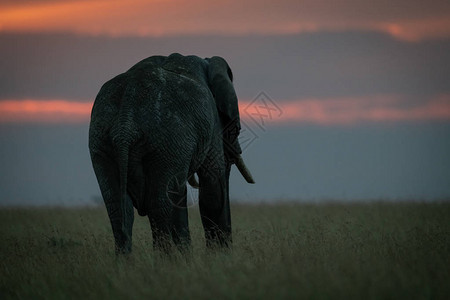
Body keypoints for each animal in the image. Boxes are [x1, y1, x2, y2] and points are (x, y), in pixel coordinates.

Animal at [89, 52, 255, 253]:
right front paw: (220, 257)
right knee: (161, 203)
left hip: (102, 140)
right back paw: (169, 259)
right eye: (235, 128)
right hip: (168, 136)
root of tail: (126, 123)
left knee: (118, 207)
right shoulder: (212, 125)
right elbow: (213, 188)